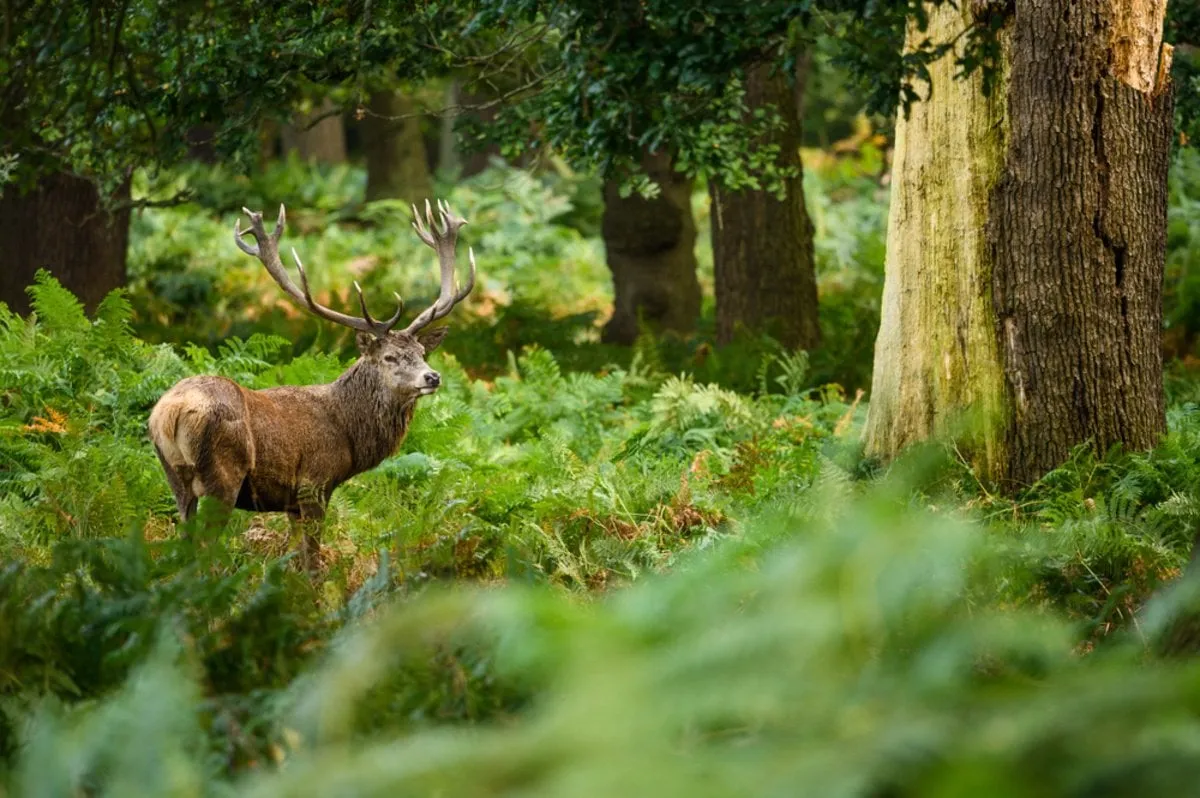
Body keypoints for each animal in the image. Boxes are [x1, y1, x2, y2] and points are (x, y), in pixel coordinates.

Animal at [148, 199, 475, 573]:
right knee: (204, 546)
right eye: (390, 357)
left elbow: (294, 559)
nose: (432, 377)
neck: (349, 433)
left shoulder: (290, 500)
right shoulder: (314, 482)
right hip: (222, 475)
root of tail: (170, 412)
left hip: (174, 476)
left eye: (422, 352)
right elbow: (313, 562)